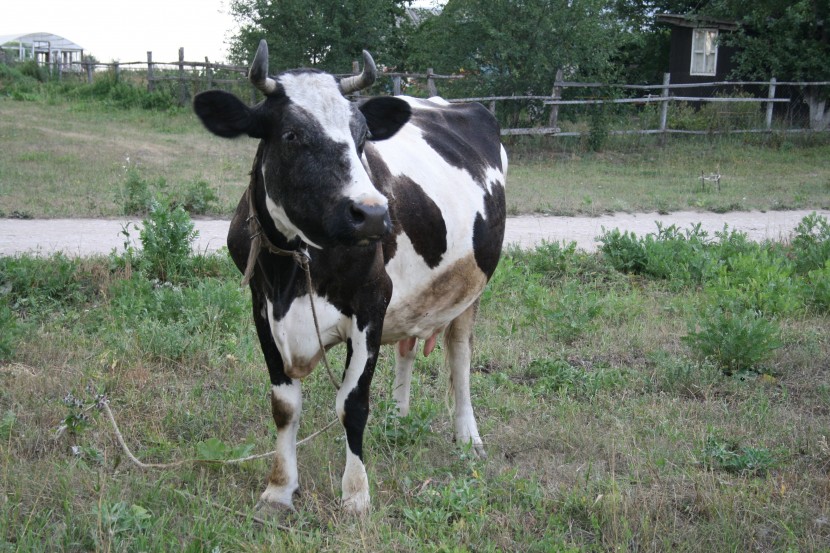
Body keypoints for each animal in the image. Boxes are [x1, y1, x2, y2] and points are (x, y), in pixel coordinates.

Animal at [195, 41, 508, 516]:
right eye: (291, 135)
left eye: (362, 138)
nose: (374, 214)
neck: (294, 270)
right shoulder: (261, 307)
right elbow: (284, 406)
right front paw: (279, 489)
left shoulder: (371, 303)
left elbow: (352, 404)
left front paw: (356, 494)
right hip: (413, 297)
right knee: (408, 347)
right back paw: (397, 418)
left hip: (470, 291)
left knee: (460, 355)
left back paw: (468, 437)